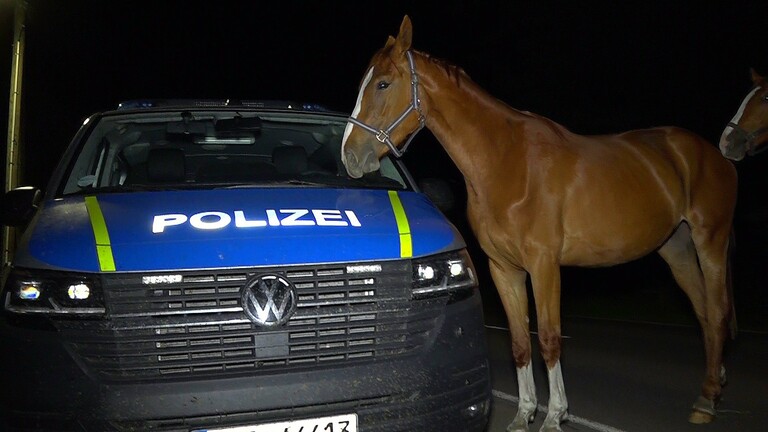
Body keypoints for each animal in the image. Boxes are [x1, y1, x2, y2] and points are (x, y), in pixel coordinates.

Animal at [342, 16, 736, 432]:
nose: (350, 155)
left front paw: (555, 415)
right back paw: (712, 385)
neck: (507, 161)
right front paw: (524, 413)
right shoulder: (504, 269)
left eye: (383, 84)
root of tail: (714, 154)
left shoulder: (544, 265)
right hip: (676, 248)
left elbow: (548, 337)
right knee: (704, 313)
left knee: (718, 312)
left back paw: (707, 400)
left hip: (711, 241)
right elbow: (519, 341)